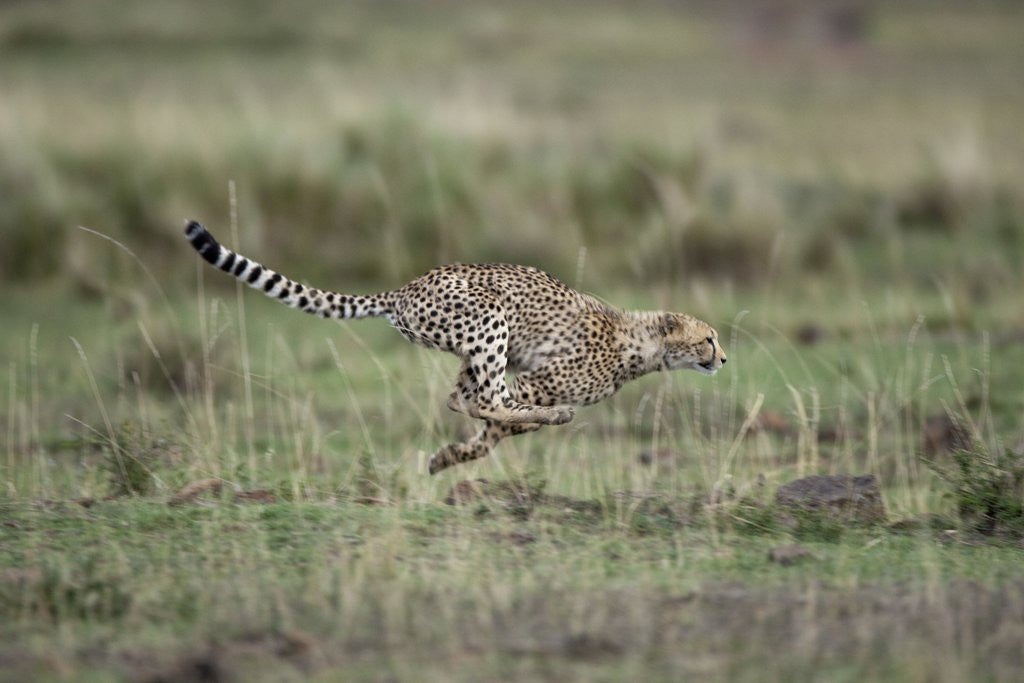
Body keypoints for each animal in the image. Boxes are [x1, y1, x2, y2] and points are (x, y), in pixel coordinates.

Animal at [184, 220, 727, 474]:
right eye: (708, 338)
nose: (723, 358)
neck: (643, 343)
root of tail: (404, 288)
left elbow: (490, 433)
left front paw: (449, 458)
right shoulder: (537, 380)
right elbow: (502, 414)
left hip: (475, 348)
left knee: (461, 396)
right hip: (490, 320)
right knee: (483, 396)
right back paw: (553, 417)